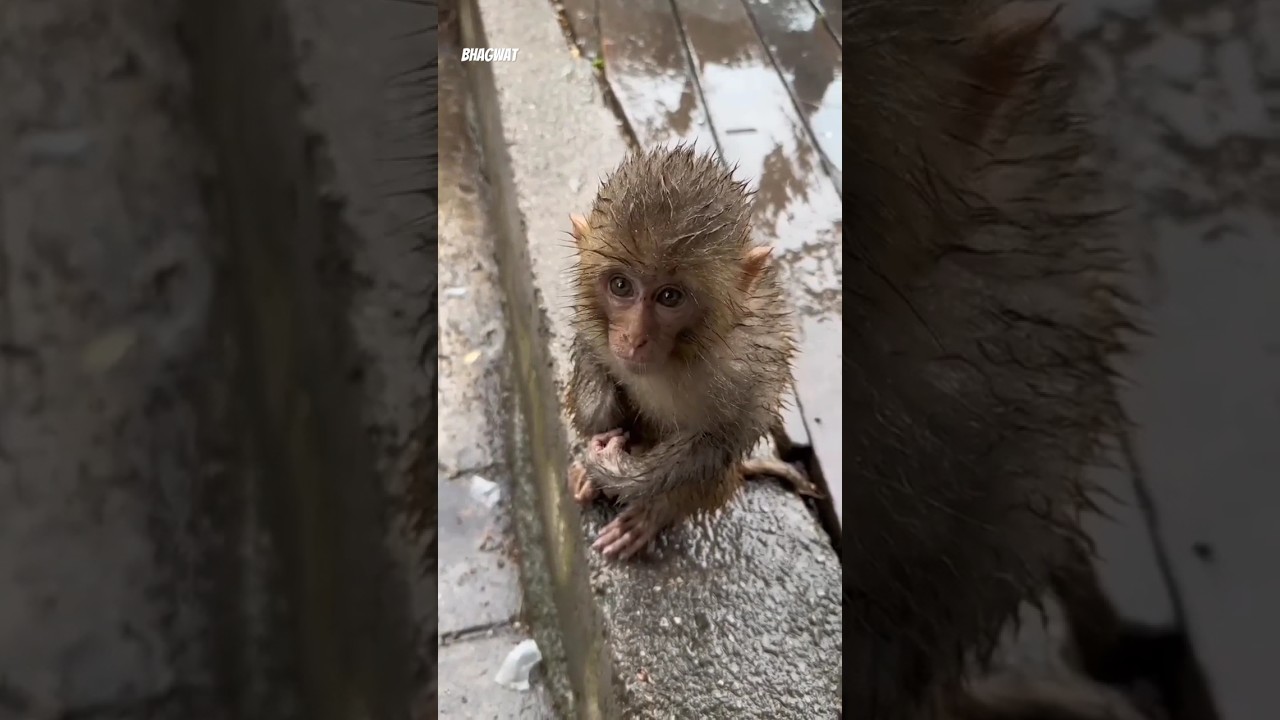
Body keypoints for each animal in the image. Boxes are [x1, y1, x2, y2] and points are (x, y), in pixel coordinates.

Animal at [561, 144, 803, 561]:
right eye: (621, 286)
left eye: (670, 297)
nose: (633, 338)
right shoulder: (596, 328)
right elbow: (591, 351)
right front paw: (600, 410)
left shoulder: (750, 363)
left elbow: (721, 440)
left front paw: (619, 470)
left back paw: (652, 512)